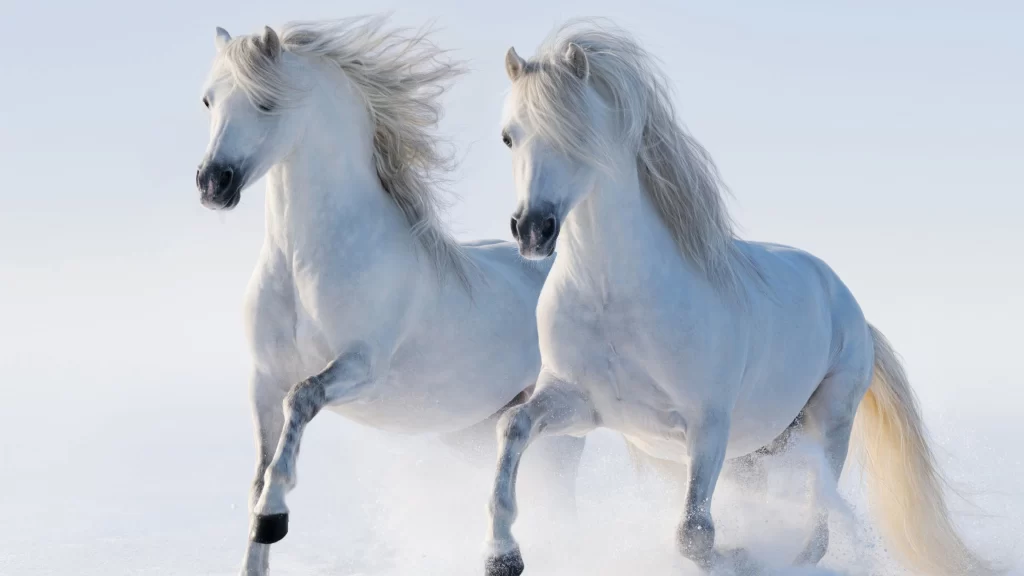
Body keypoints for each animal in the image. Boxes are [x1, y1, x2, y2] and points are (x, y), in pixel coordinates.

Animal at [194, 17, 584, 576]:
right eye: (208, 100)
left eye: (266, 103)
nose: (213, 183)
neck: (303, 263)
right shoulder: (263, 379)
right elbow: (259, 470)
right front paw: (258, 537)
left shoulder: (361, 367)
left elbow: (301, 400)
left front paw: (274, 516)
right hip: (474, 431)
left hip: (565, 431)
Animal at [483, 20, 992, 576]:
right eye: (508, 136)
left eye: (576, 134)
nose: (533, 230)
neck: (614, 297)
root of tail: (850, 308)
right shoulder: (579, 404)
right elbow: (512, 426)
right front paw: (502, 557)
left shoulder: (707, 426)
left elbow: (694, 535)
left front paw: (739, 556)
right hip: (756, 452)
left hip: (828, 423)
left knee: (817, 527)